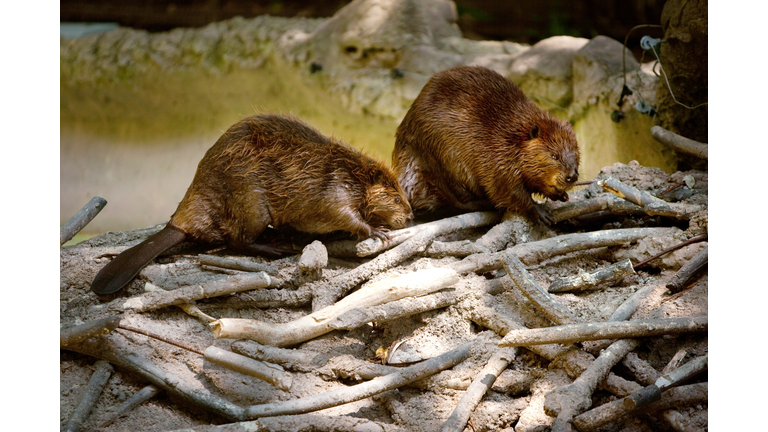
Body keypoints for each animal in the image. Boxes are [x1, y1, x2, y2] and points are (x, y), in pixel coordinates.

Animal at [91, 113, 414, 296]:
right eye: (397, 197)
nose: (410, 216)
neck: (349, 172)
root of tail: (178, 224)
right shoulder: (333, 188)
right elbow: (344, 214)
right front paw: (377, 231)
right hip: (251, 202)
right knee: (238, 240)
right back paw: (277, 246)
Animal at [392, 66, 580, 226]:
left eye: (576, 156)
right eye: (554, 155)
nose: (571, 176)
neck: (514, 134)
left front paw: (560, 194)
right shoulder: (496, 155)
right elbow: (506, 189)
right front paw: (540, 213)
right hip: (440, 157)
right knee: (457, 200)